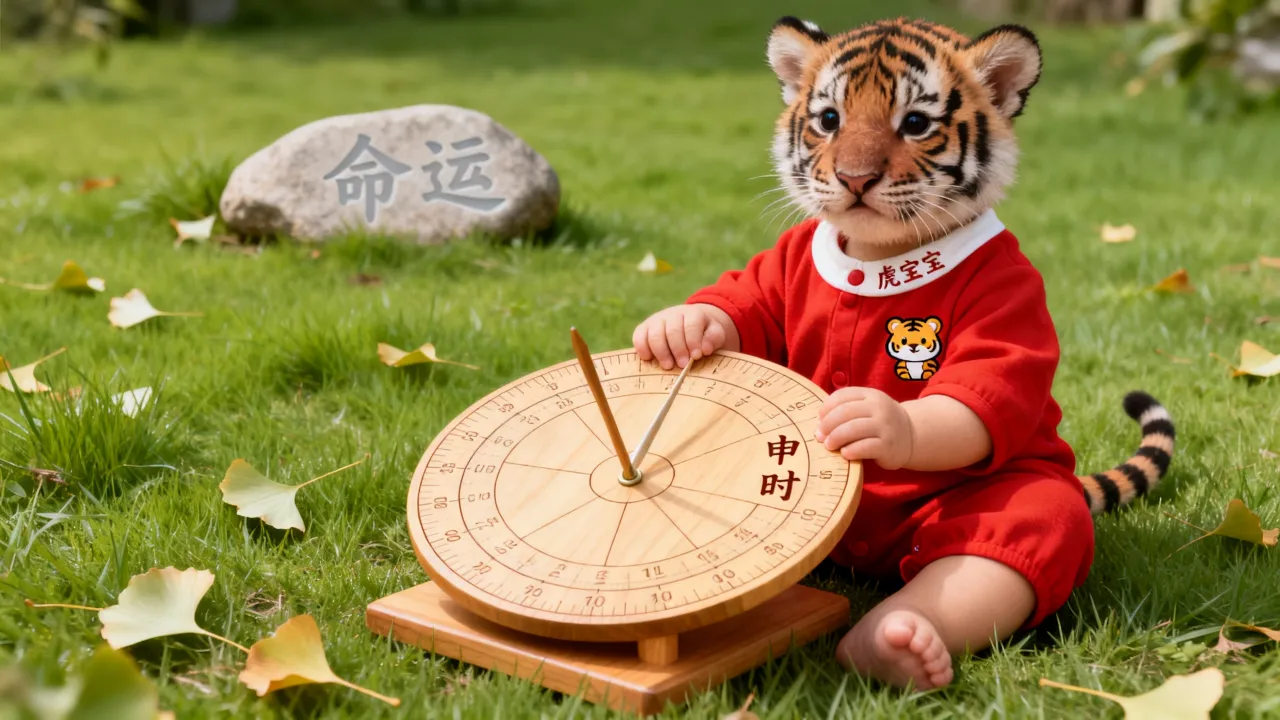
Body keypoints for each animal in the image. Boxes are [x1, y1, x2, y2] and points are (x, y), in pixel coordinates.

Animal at [765, 16, 1176, 514]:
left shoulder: (1009, 288)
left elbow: (962, 410)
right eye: (829, 120)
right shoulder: (783, 258)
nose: (855, 178)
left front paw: (877, 419)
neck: (875, 256)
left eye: (916, 123)